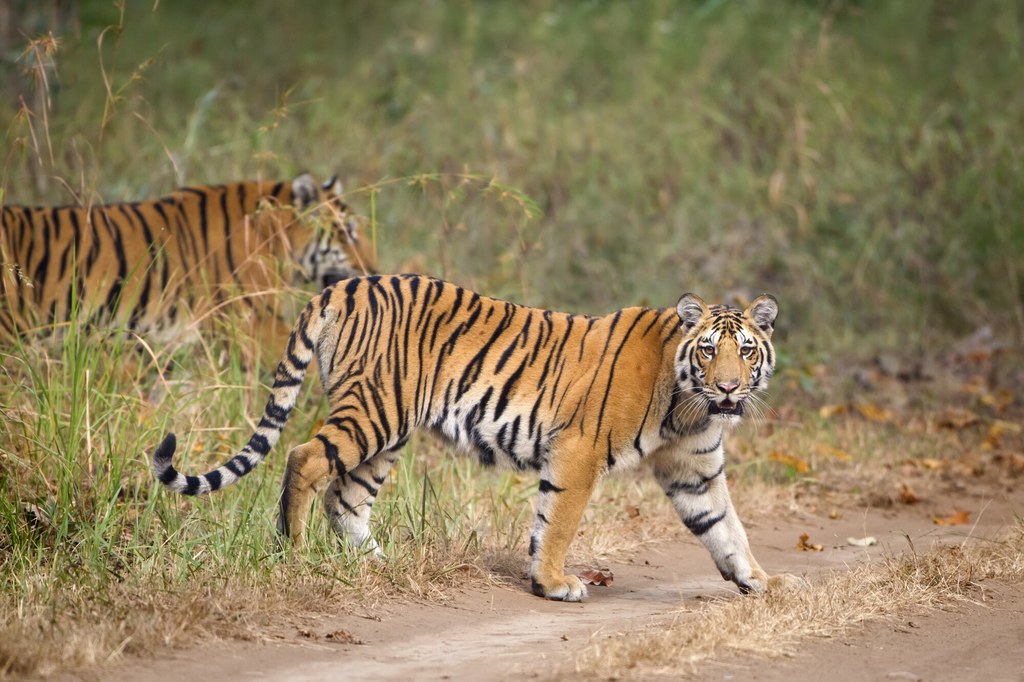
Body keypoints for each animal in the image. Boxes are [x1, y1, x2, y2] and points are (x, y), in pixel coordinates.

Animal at [149, 274, 798, 598]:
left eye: (746, 351)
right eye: (709, 350)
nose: (729, 388)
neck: (690, 407)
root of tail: (343, 285)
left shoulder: (695, 470)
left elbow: (727, 529)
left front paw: (763, 582)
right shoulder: (578, 450)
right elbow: (558, 522)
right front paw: (554, 583)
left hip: (389, 431)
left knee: (347, 495)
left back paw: (377, 565)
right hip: (375, 409)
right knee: (306, 458)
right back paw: (295, 550)